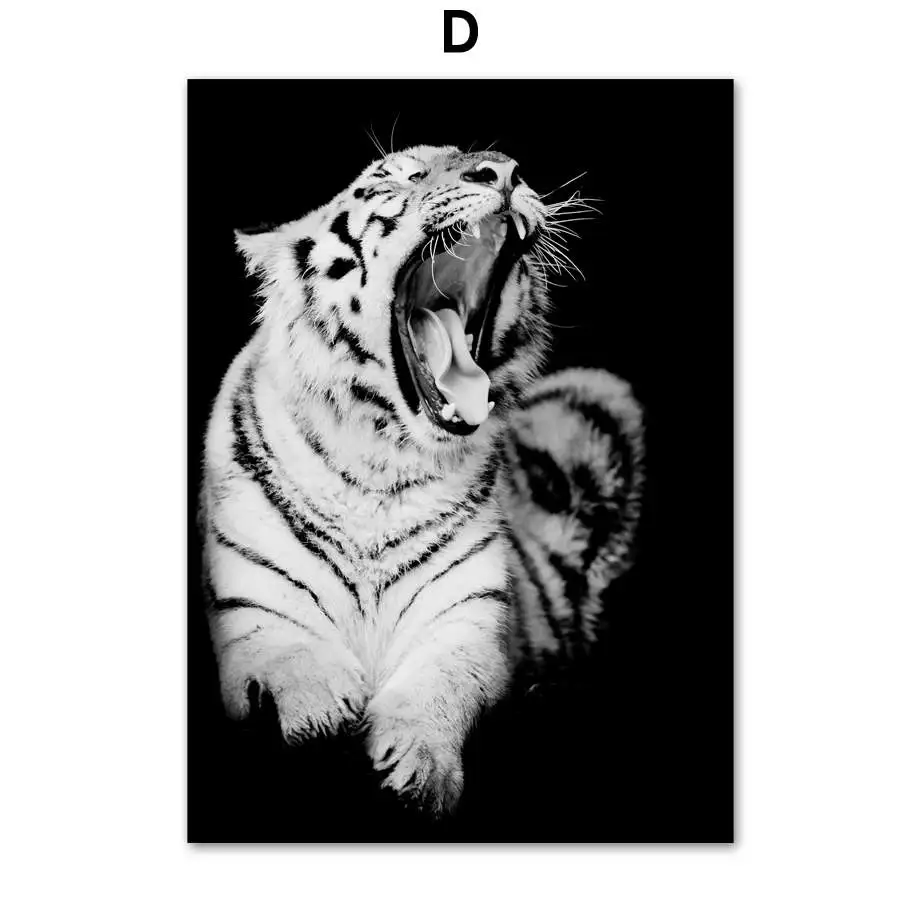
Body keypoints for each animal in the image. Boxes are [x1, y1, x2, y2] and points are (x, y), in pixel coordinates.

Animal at [199, 144, 643, 816]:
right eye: (404, 176)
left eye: (508, 170)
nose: (505, 171)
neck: (380, 462)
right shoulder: (248, 602)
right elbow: (287, 655)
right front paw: (319, 716)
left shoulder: (469, 619)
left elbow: (443, 685)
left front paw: (419, 770)